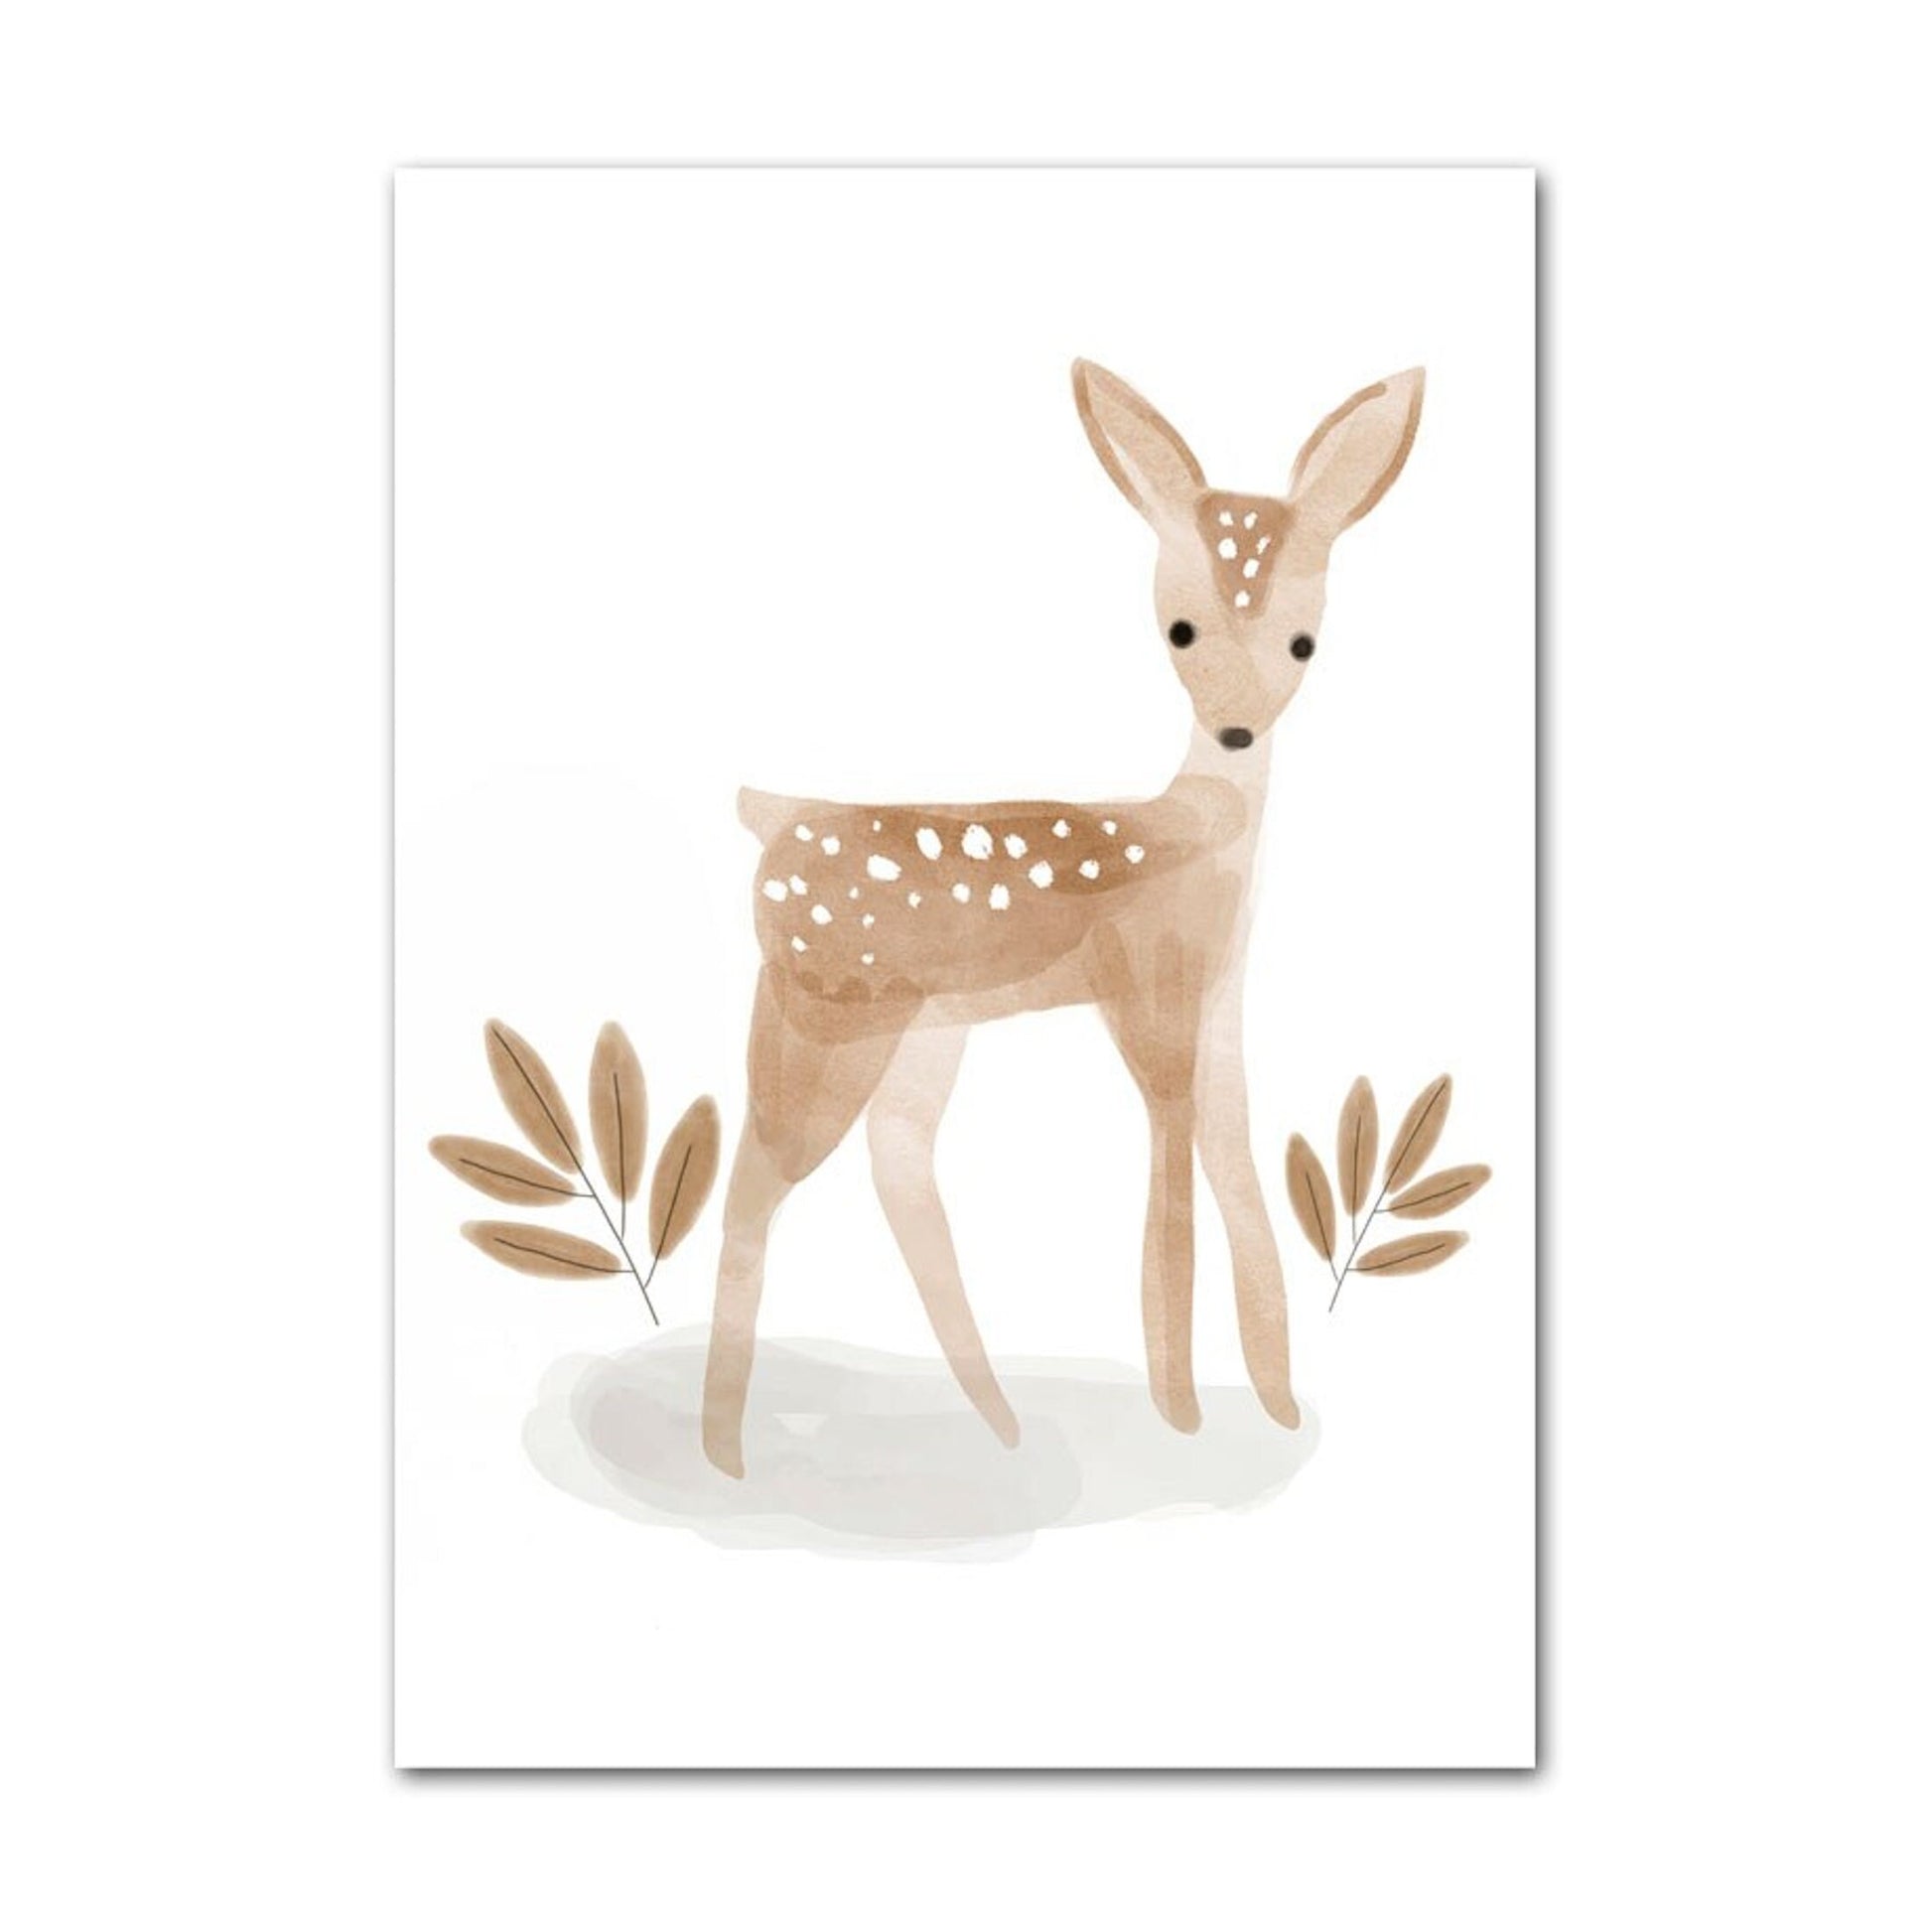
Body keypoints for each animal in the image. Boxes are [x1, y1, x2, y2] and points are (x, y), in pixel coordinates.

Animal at [700, 359, 1424, 1477]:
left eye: (1305, 640)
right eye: (1179, 628)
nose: (1235, 726)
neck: (1205, 837)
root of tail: (768, 811)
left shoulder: (1221, 1005)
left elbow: (1237, 1168)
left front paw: (1275, 1401)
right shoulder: (1148, 989)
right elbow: (1171, 1182)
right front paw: (1181, 1413)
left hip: (924, 1028)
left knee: (897, 1163)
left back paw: (995, 1424)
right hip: (822, 1006)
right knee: (753, 1188)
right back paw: (727, 1456)